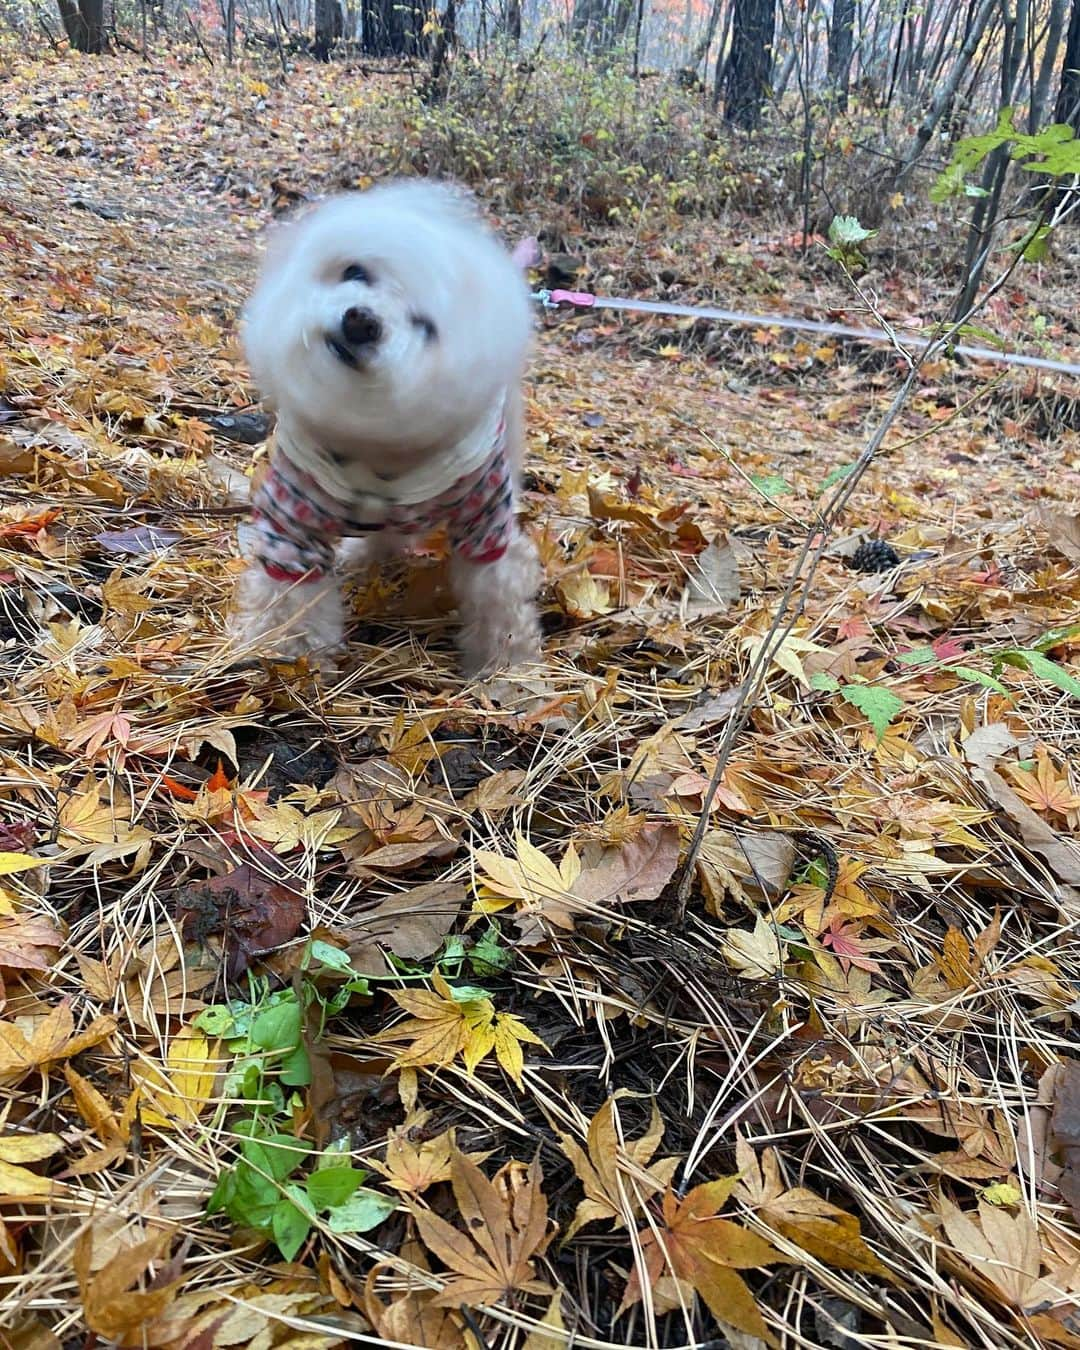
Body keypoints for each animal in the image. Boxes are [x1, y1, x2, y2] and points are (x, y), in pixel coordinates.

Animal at [230, 182, 545, 675]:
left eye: (426, 326)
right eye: (355, 271)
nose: (362, 321)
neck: (378, 441)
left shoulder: (485, 520)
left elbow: (499, 596)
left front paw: (505, 670)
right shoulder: (293, 520)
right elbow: (290, 597)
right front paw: (286, 655)